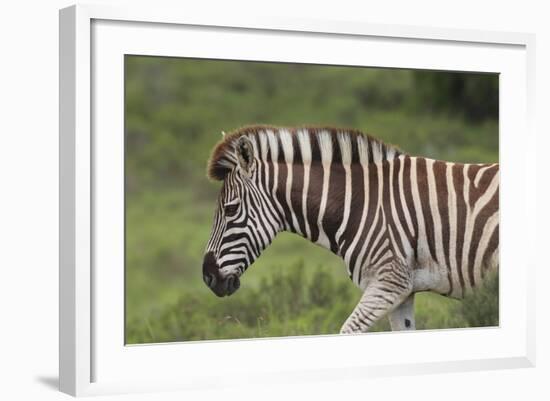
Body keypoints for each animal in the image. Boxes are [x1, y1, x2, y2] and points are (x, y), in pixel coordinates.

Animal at [203, 125, 500, 332]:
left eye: (231, 210)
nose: (208, 277)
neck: (359, 204)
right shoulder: (403, 291)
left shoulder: (389, 281)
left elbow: (347, 330)